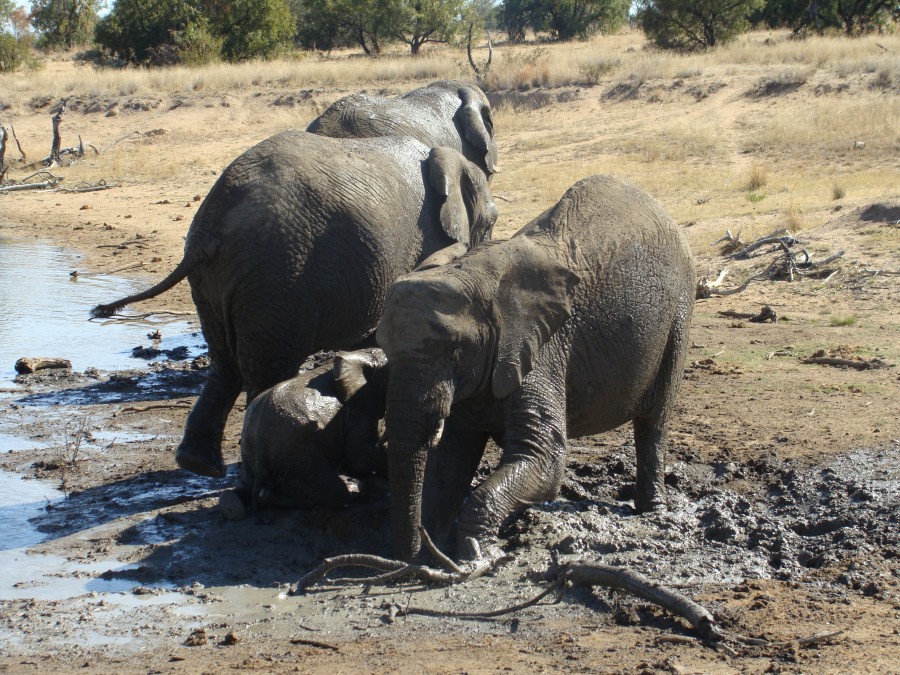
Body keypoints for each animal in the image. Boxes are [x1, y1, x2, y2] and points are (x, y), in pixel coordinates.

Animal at [92, 130, 498, 478]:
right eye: (491, 222)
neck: (445, 159)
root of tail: (212, 222)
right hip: (277, 276)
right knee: (265, 369)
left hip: (220, 281)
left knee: (225, 362)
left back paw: (201, 466)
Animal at [218, 348, 388, 520]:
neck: (365, 354)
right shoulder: (359, 410)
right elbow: (359, 456)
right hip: (295, 453)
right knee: (335, 493)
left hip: (251, 450)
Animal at [376, 175, 696, 562]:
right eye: (384, 348)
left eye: (455, 351)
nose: (408, 554)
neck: (479, 276)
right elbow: (452, 457)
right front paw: (435, 550)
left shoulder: (543, 349)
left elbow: (544, 456)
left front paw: (476, 555)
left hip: (679, 310)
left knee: (654, 419)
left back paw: (652, 510)